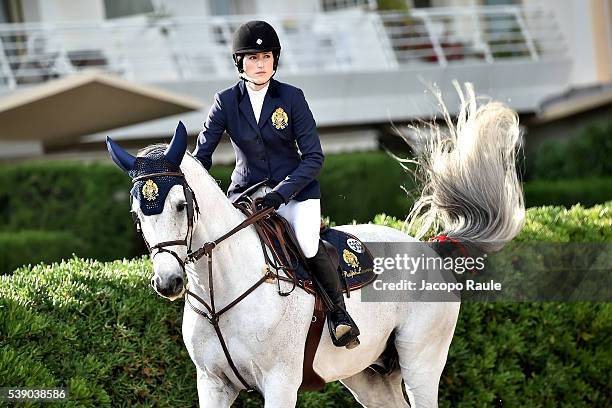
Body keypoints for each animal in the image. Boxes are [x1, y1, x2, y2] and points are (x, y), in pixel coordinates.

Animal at [105, 84, 520, 406]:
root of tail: (430, 249)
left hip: (421, 360)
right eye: (136, 213)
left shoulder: (280, 383)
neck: (220, 296)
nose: (168, 283)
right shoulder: (212, 385)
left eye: (180, 205)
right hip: (368, 375)